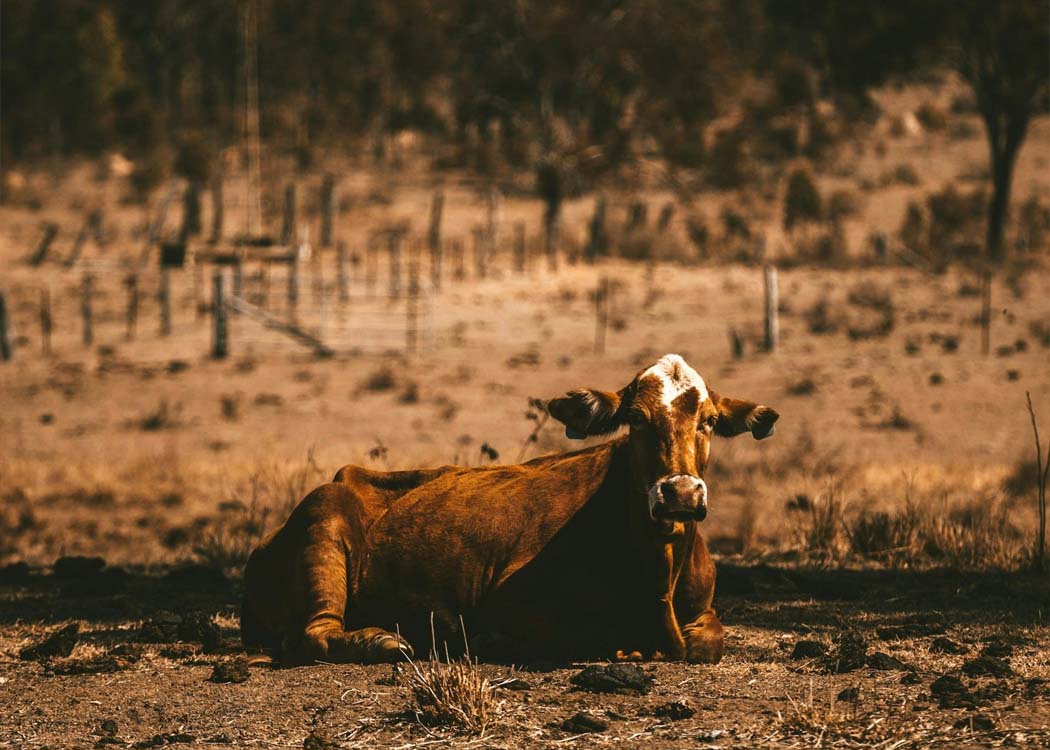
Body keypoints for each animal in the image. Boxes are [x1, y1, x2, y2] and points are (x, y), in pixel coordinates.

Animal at [241, 354, 778, 665]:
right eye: (636, 420)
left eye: (709, 421)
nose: (680, 494)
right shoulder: (510, 603)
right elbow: (579, 637)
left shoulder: (704, 611)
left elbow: (707, 642)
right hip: (323, 521)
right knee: (315, 634)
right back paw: (381, 641)